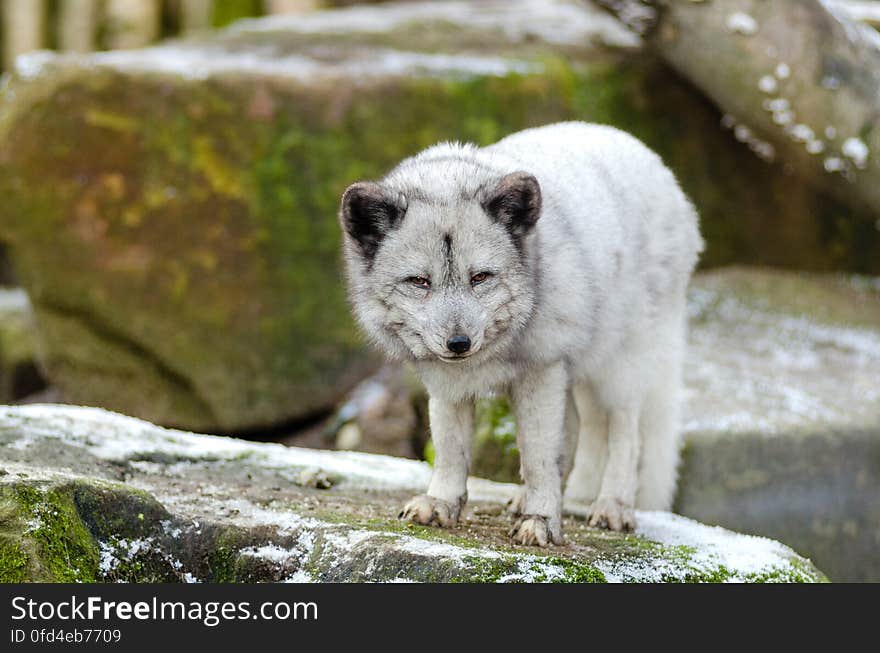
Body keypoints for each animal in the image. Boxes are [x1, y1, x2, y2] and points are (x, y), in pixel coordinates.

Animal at [336, 122, 700, 544]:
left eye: (480, 277)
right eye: (419, 282)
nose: (458, 343)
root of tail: (654, 160)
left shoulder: (542, 368)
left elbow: (539, 455)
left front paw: (541, 520)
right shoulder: (447, 383)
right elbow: (450, 449)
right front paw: (442, 503)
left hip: (619, 366)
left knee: (624, 432)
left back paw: (611, 506)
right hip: (576, 372)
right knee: (583, 430)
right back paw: (562, 498)